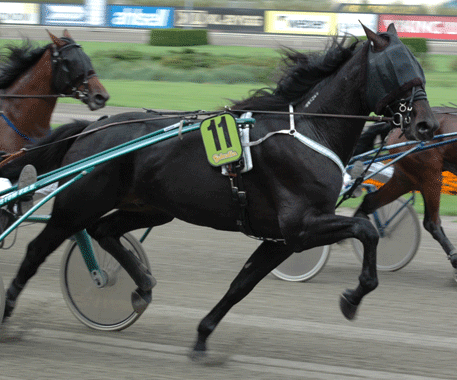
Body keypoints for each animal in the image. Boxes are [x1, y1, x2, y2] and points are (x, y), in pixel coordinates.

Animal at [0, 24, 438, 360]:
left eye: (420, 68)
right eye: (398, 68)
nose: (427, 125)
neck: (309, 129)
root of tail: (93, 126)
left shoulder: (282, 238)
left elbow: (241, 285)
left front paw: (202, 336)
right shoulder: (302, 226)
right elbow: (367, 231)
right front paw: (352, 297)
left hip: (153, 207)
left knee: (105, 231)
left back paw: (142, 286)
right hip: (77, 205)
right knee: (39, 249)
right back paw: (8, 315)